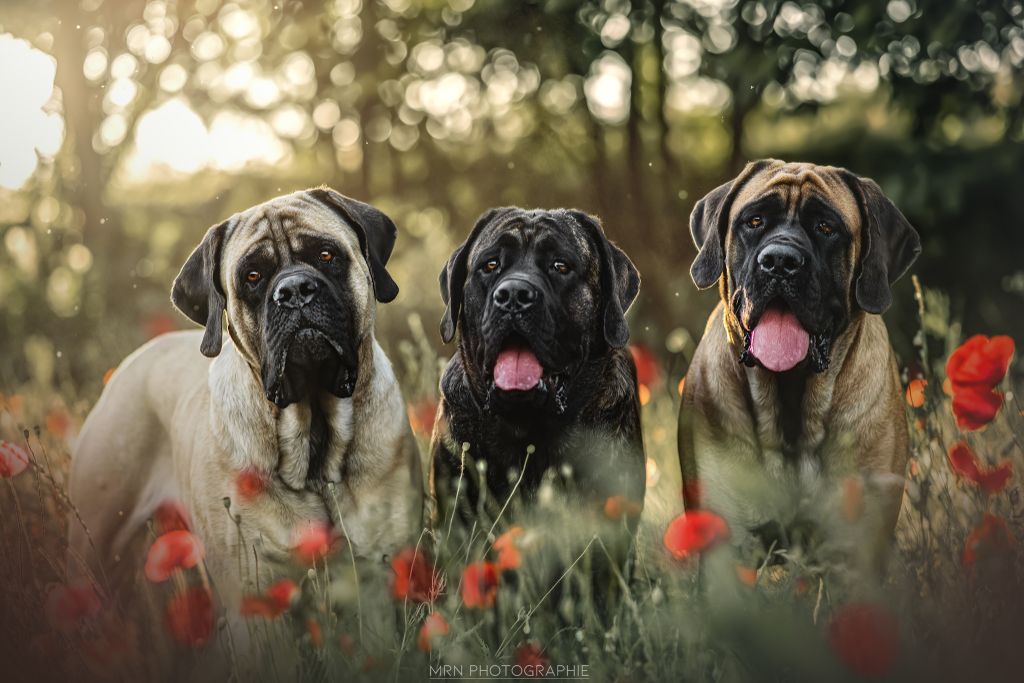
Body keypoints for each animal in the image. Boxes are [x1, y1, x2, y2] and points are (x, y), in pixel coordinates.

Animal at [71, 189, 423, 618]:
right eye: (252, 277)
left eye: (326, 255)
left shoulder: (377, 579)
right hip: (96, 547)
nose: (295, 290)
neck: (315, 438)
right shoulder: (254, 595)